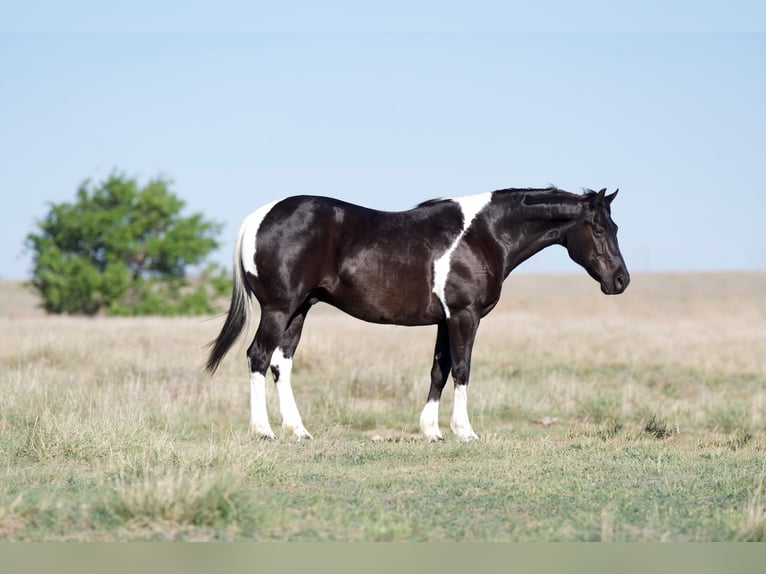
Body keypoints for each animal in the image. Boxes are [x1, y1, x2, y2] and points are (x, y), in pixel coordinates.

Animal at [206, 187, 632, 444]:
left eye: (615, 226)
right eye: (597, 229)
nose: (620, 280)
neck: (484, 235)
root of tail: (260, 216)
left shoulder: (445, 320)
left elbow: (439, 370)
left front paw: (432, 431)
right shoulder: (464, 316)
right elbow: (462, 369)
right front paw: (464, 431)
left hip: (299, 309)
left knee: (282, 364)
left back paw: (298, 430)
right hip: (278, 309)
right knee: (258, 357)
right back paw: (263, 430)